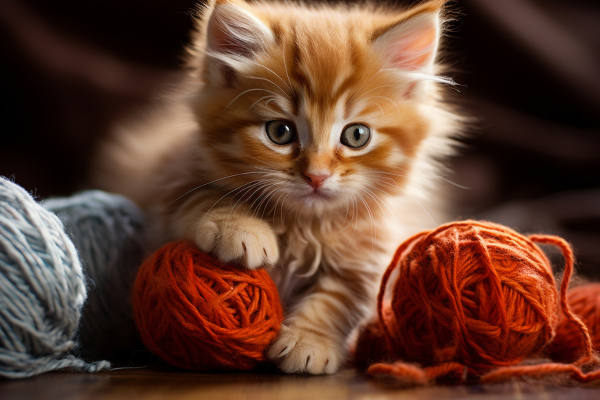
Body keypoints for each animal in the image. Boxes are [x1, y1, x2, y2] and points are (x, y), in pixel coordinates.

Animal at [91, 0, 462, 376]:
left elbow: (339, 300)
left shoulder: (371, 254)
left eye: (356, 135)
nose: (316, 176)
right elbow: (205, 196)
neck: (303, 225)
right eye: (280, 132)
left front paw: (309, 341)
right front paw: (242, 230)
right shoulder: (170, 184)